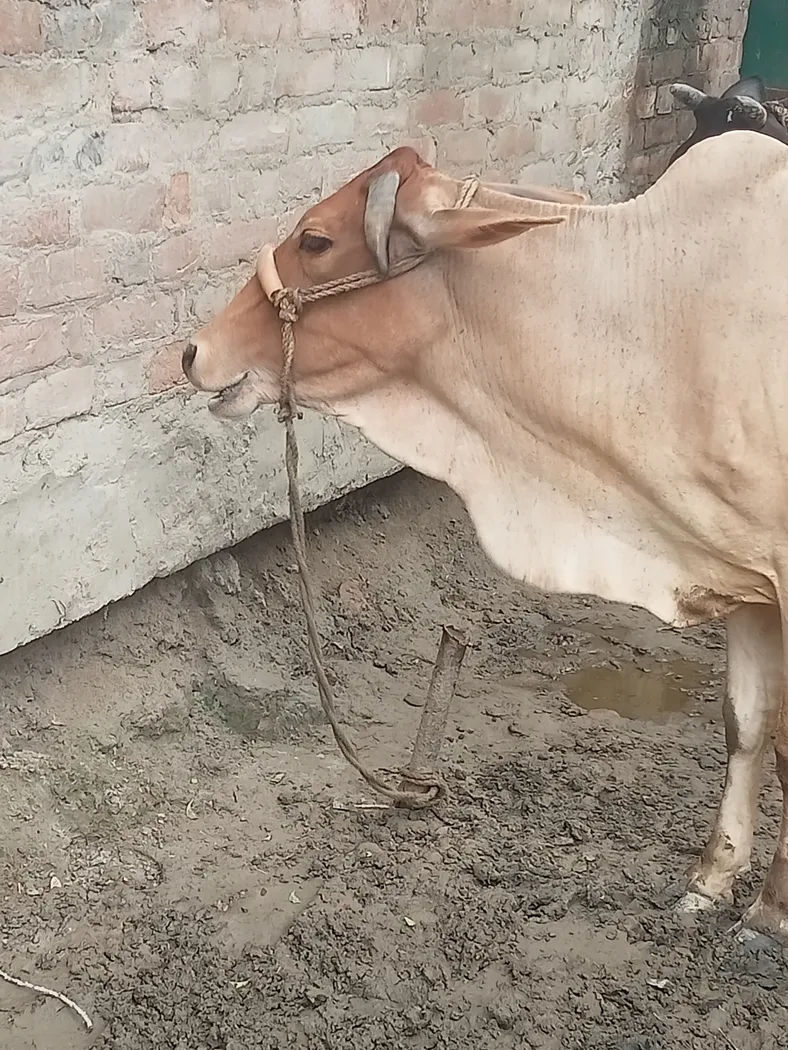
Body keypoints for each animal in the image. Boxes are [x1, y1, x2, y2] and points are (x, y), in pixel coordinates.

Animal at [183, 133, 788, 940]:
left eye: (316, 240)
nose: (193, 351)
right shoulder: (745, 574)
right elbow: (746, 724)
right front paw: (711, 883)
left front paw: (771, 913)